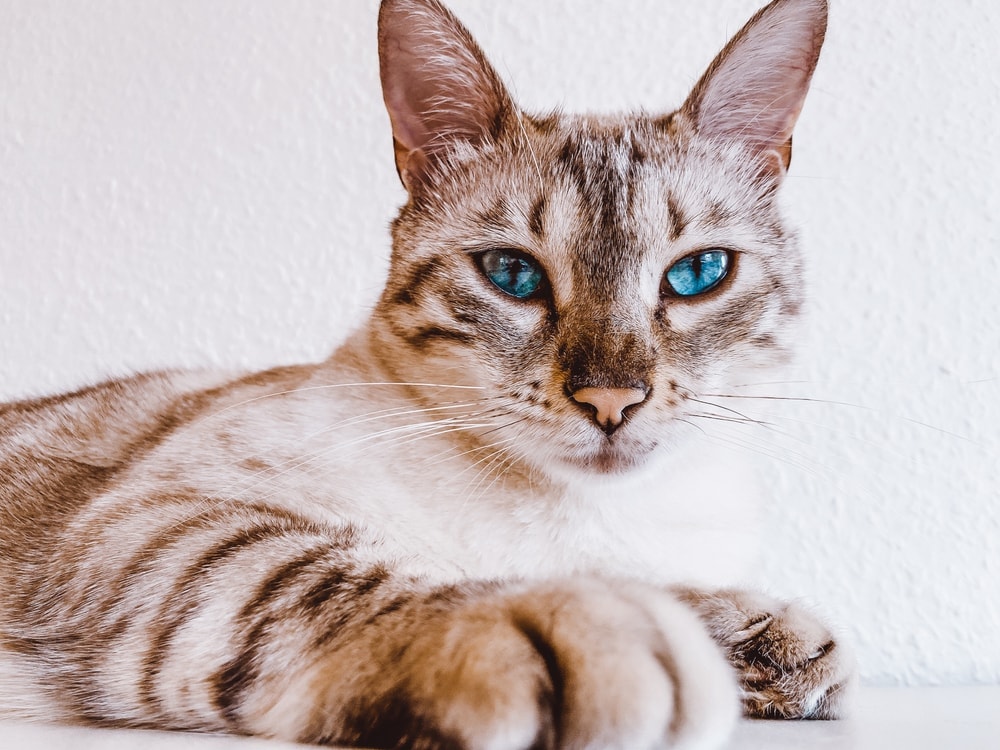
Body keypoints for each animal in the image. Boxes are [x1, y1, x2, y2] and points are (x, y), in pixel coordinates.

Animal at [0, 0, 852, 748]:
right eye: (512, 274)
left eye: (699, 274)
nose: (611, 399)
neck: (584, 514)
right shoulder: (160, 521)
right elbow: (357, 579)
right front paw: (568, 629)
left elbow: (661, 590)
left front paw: (769, 645)